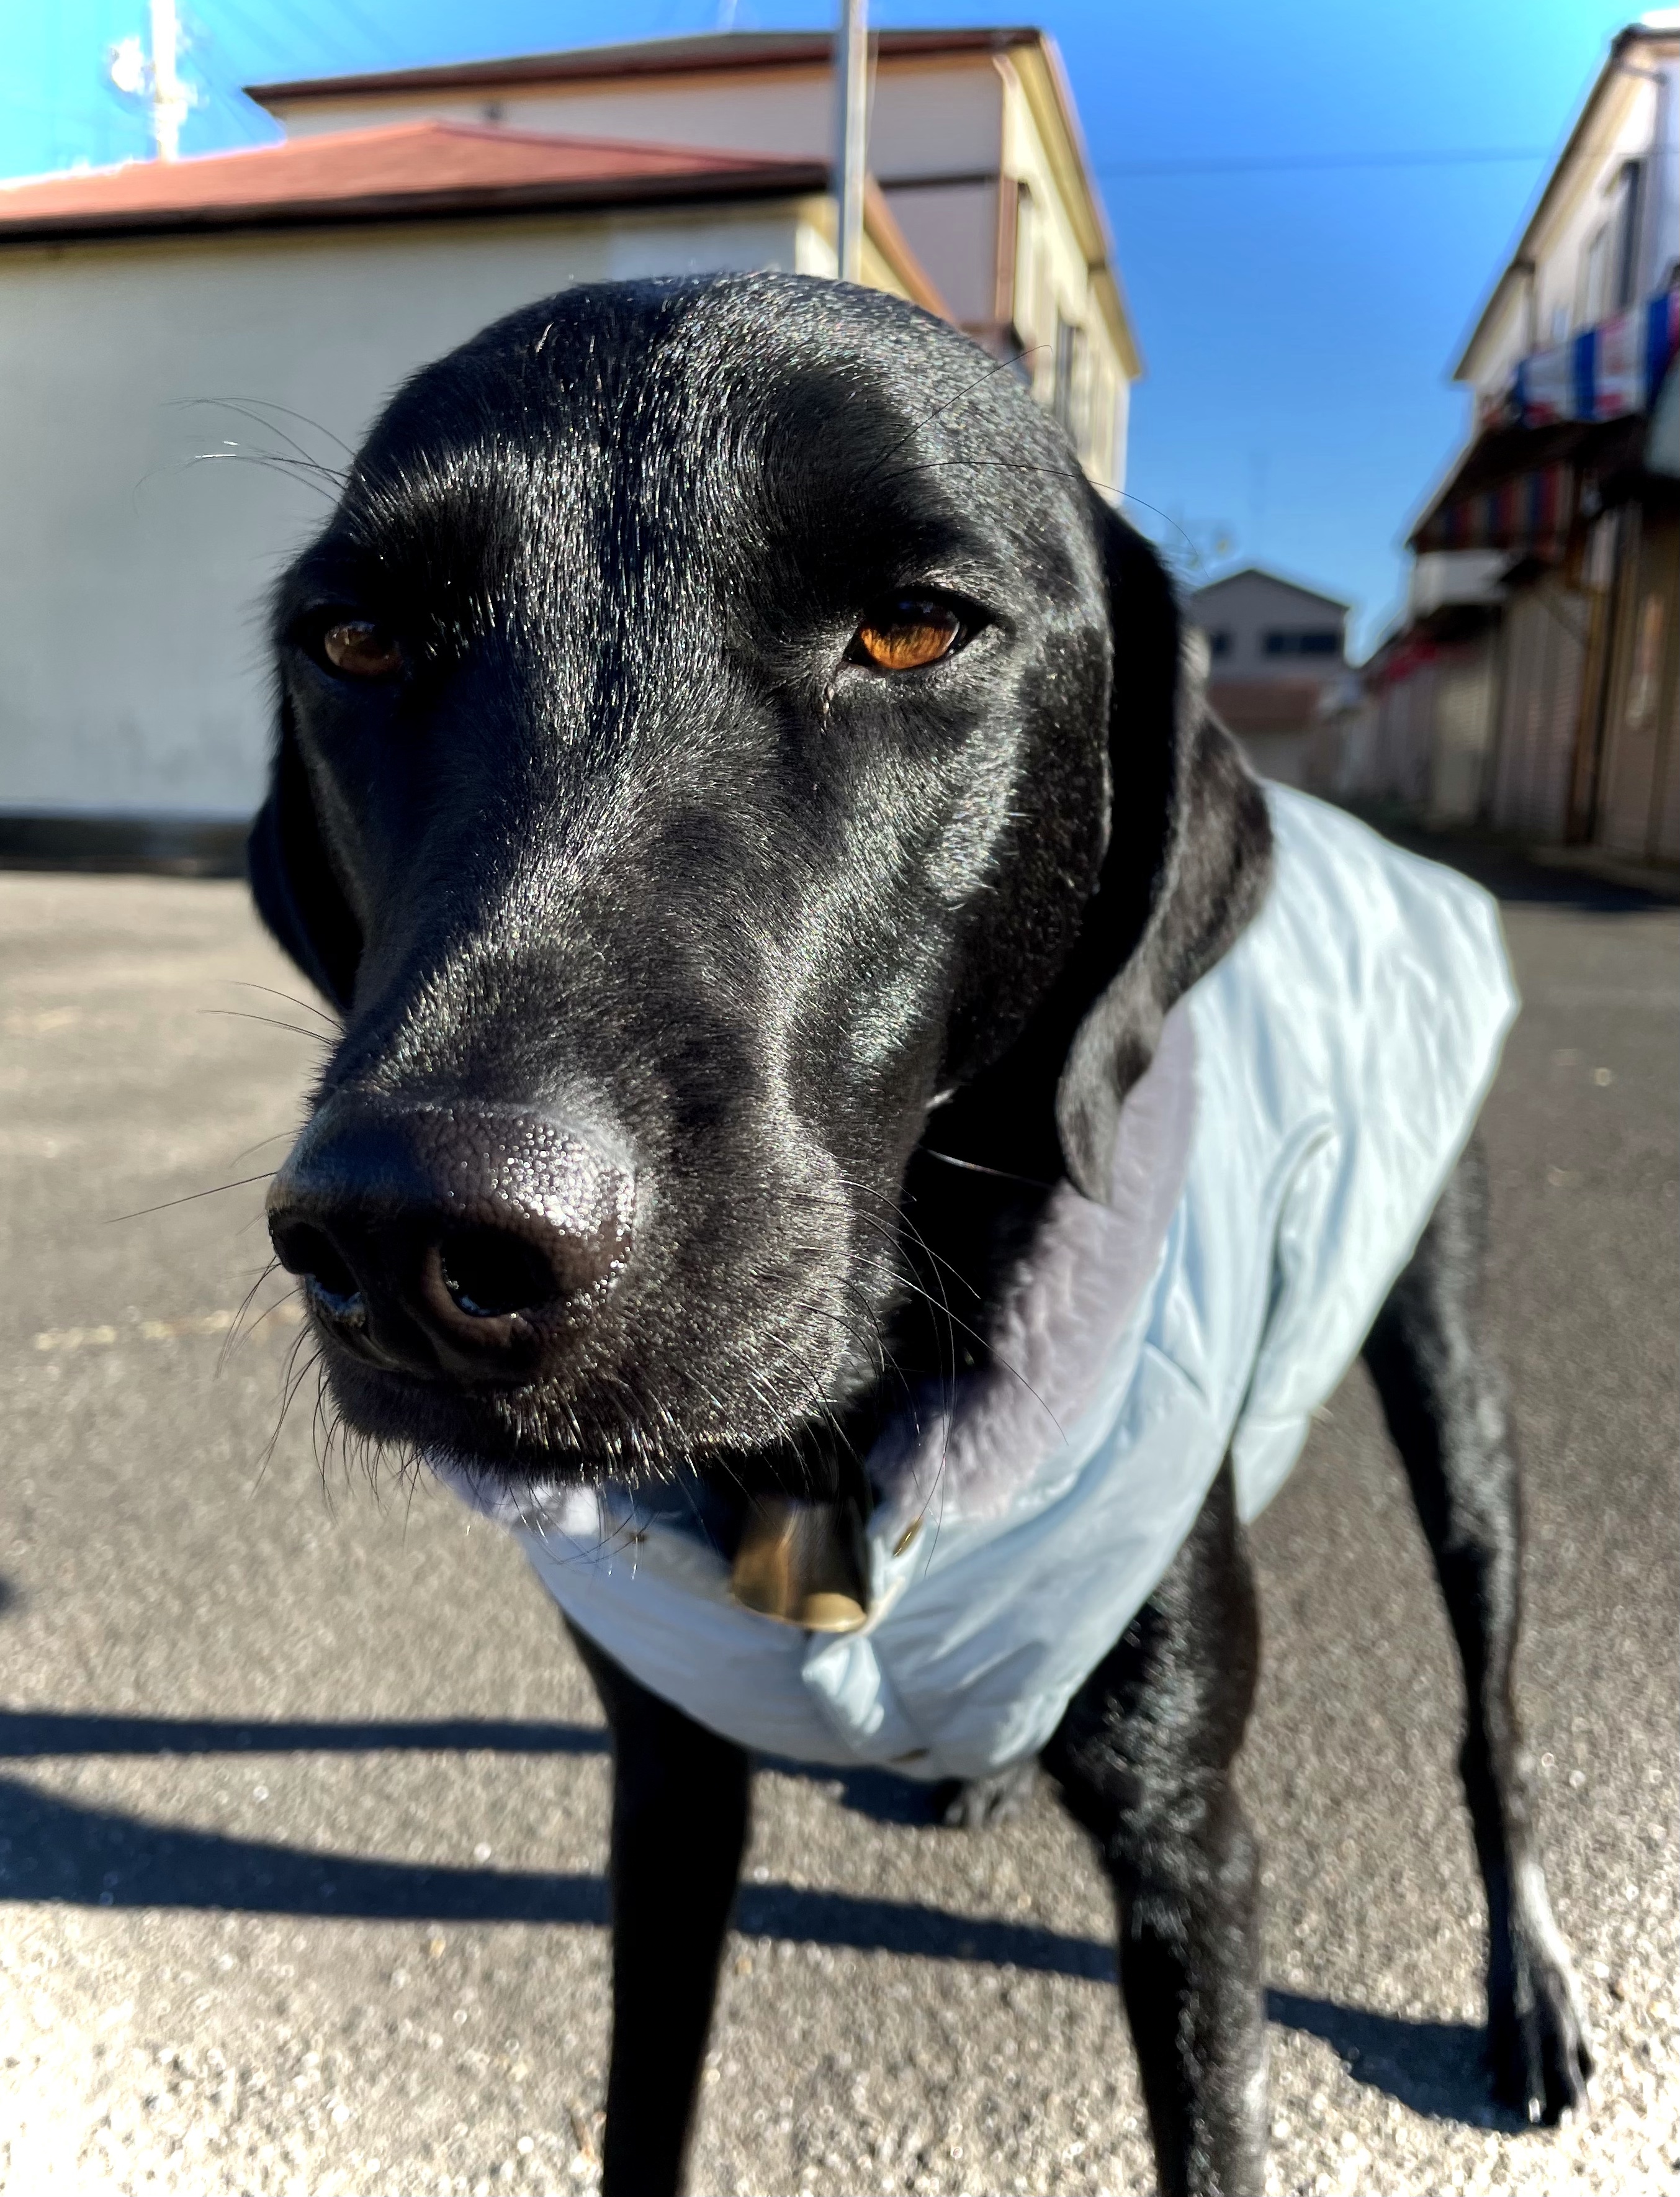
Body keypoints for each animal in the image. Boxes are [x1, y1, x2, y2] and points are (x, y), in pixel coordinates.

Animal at [249, 274, 1590, 2196]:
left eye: (911, 631)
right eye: (355, 642)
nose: (417, 1231)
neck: (827, 1473)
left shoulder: (1195, 1854)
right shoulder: (667, 1790)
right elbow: (642, 2103)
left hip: (1450, 1372)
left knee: (1490, 1706)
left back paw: (1526, 1975)